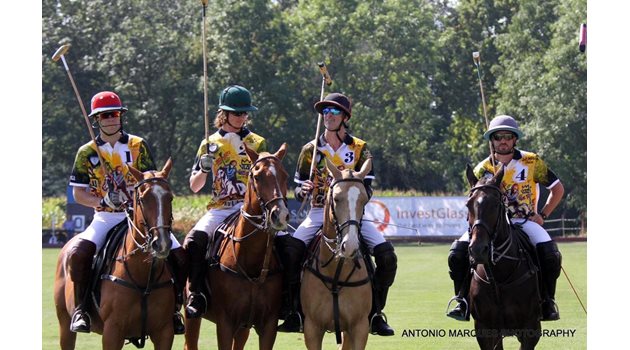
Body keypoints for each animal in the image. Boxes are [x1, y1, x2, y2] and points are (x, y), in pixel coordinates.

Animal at [54, 159, 178, 350]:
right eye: (143, 199)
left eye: (170, 198)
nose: (162, 243)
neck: (143, 277)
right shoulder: (113, 331)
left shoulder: (164, 331)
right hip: (64, 322)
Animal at [184, 143, 290, 350]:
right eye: (256, 176)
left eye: (285, 175)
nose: (280, 215)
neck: (252, 263)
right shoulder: (225, 322)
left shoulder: (268, 324)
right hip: (191, 314)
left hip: (244, 327)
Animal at [302, 158, 376, 350]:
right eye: (336, 198)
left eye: (365, 200)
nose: (349, 246)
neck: (336, 273)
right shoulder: (312, 328)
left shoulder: (359, 327)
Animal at [464, 165, 544, 350]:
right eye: (468, 204)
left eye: (495, 204)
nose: (478, 250)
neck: (499, 277)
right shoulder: (484, 328)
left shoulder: (531, 327)